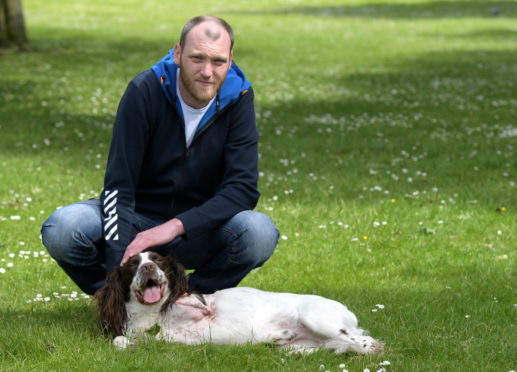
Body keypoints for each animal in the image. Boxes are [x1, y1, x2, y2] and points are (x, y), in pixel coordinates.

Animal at [93, 251, 382, 354]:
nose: (148, 267)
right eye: (133, 264)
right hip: (304, 344)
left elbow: (202, 304)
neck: (153, 314)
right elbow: (121, 340)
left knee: (368, 343)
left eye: (158, 260)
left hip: (319, 318)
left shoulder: (199, 305)